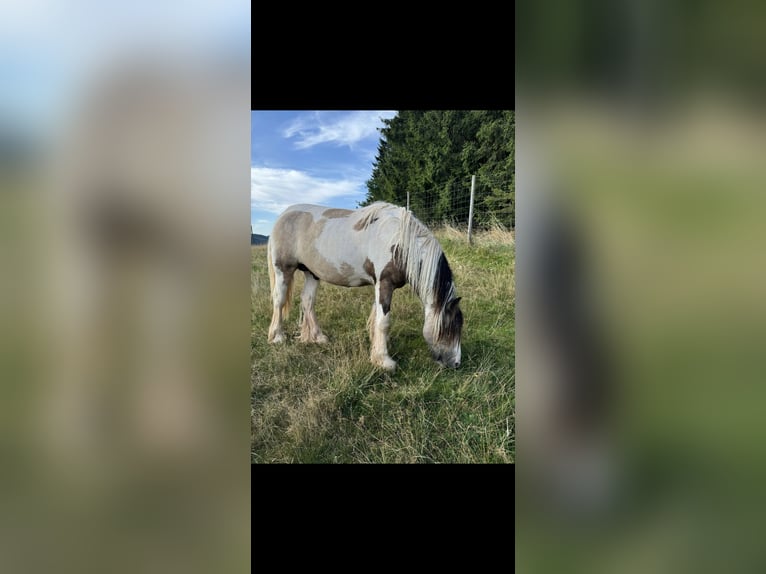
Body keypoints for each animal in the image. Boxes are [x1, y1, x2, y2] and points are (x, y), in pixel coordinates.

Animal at [266, 201, 463, 371]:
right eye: (450, 328)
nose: (456, 364)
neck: (400, 243)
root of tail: (284, 215)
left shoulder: (380, 286)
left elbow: (377, 319)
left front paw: (377, 351)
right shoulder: (384, 284)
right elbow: (383, 322)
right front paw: (384, 361)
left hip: (312, 273)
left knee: (307, 301)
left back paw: (318, 337)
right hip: (283, 270)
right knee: (279, 301)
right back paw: (277, 336)